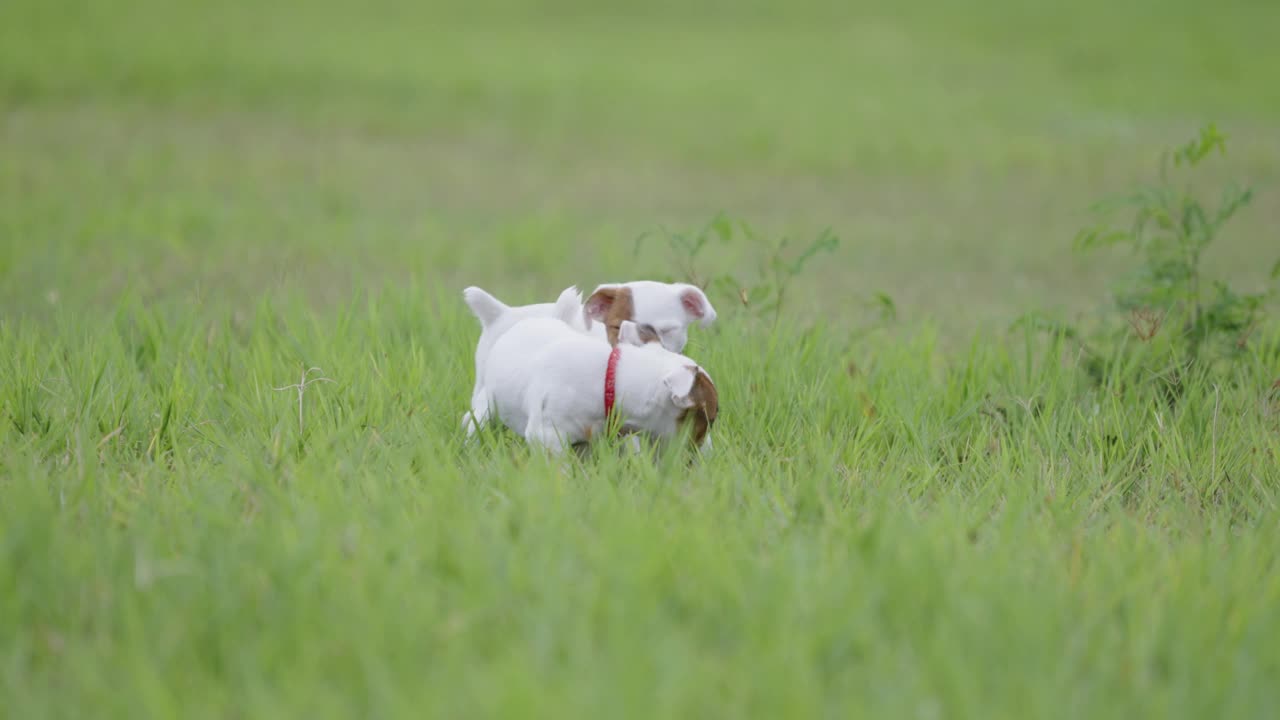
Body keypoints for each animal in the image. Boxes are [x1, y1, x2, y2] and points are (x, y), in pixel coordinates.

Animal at [463, 283, 721, 450]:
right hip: (485, 397)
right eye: (616, 325)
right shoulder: (547, 435)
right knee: (473, 419)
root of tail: (503, 313)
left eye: (668, 330)